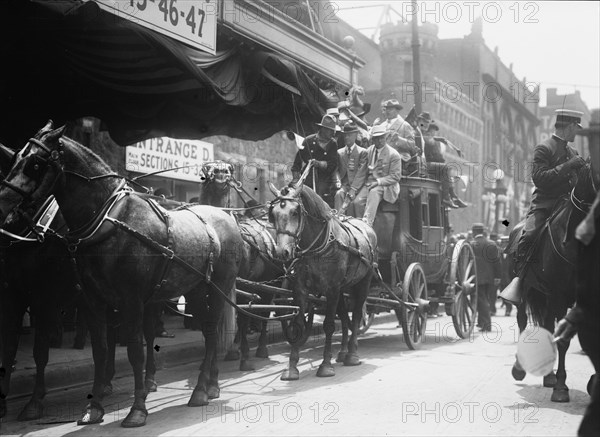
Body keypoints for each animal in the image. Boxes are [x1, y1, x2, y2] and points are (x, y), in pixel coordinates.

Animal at [0, 123, 246, 426]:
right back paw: (208, 385)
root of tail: (224, 215)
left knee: (210, 332)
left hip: (218, 286)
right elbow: (100, 350)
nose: (4, 209)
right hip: (195, 289)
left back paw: (201, 389)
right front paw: (94, 407)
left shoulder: (122, 299)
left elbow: (133, 352)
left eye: (35, 163)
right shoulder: (88, 299)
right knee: (205, 332)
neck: (110, 219)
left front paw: (137, 409)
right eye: (13, 159)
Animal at [195, 162, 284, 370]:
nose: (220, 173)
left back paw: (261, 349)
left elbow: (242, 318)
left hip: (272, 281)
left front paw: (245, 359)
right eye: (208, 168)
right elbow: (208, 322)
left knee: (264, 311)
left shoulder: (240, 285)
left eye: (228, 170)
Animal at [268, 180, 376, 378]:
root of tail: (366, 225)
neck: (316, 248)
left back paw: (352, 354)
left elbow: (329, 326)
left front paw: (325, 365)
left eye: (295, 212)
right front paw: (292, 367)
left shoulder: (331, 289)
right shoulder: (300, 289)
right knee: (344, 317)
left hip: (363, 282)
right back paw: (342, 352)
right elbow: (298, 325)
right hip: (343, 289)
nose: (282, 252)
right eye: (273, 214)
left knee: (356, 315)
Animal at [504, 161, 596, 402]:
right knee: (522, 320)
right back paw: (520, 368)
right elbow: (562, 340)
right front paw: (562, 388)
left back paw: (549, 376)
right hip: (527, 291)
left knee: (546, 325)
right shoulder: (559, 294)